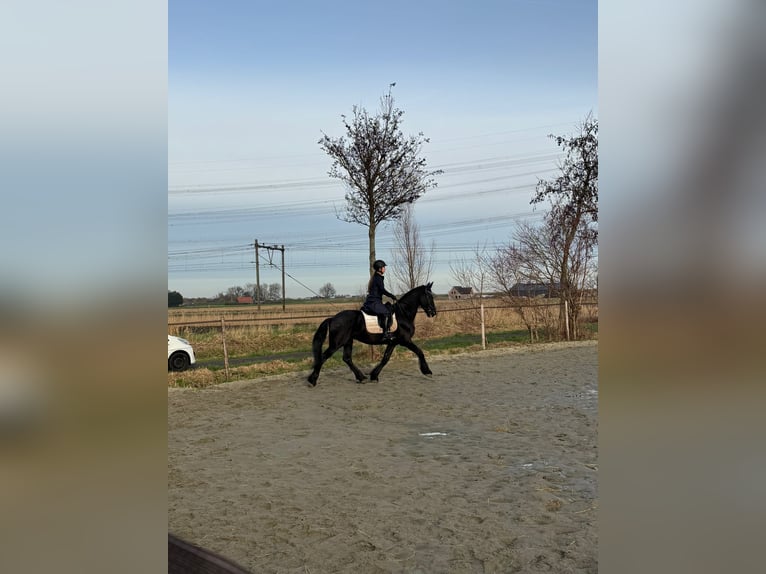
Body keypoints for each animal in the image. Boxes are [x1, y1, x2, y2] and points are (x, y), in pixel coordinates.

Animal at [307, 282, 437, 386]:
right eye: (429, 296)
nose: (433, 313)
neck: (403, 314)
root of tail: (332, 318)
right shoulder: (405, 340)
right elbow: (420, 352)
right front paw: (427, 371)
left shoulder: (393, 342)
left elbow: (385, 359)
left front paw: (374, 376)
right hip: (337, 343)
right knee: (324, 357)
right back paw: (312, 380)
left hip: (348, 341)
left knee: (347, 358)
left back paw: (361, 378)